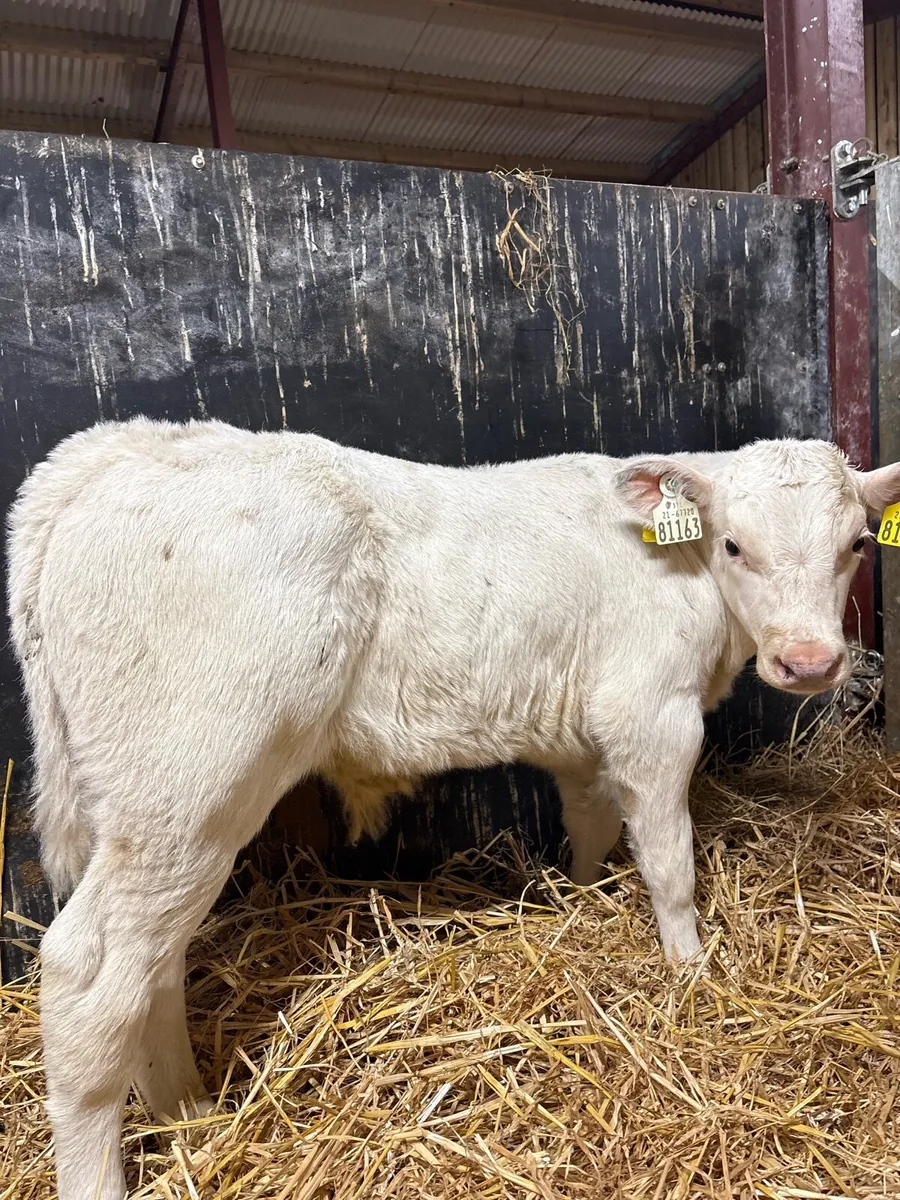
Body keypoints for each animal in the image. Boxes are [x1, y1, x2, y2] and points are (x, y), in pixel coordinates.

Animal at [8, 417, 898, 1199]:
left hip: (148, 807)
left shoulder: (581, 736)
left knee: (151, 962)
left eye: (857, 545)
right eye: (736, 545)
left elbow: (590, 827)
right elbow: (670, 864)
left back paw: (189, 1111)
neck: (680, 572)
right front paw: (690, 976)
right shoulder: (652, 712)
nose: (811, 662)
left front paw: (581, 904)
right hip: (187, 784)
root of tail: (111, 452)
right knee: (89, 973)